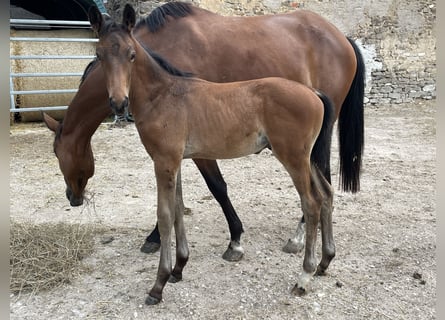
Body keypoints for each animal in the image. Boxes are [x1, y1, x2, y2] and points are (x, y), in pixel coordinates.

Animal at [44, 2, 364, 262]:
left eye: (57, 153)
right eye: (98, 54)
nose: (71, 197)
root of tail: (342, 37)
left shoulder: (196, 148)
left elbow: (216, 187)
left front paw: (232, 240)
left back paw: (299, 237)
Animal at [88, 4, 334, 304]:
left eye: (131, 54)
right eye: (99, 54)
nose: (118, 103)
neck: (163, 96)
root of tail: (313, 92)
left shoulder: (164, 162)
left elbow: (166, 216)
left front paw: (158, 284)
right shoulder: (174, 162)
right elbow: (179, 210)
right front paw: (179, 268)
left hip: (294, 158)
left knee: (311, 203)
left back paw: (304, 276)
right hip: (309, 158)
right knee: (326, 194)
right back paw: (324, 262)